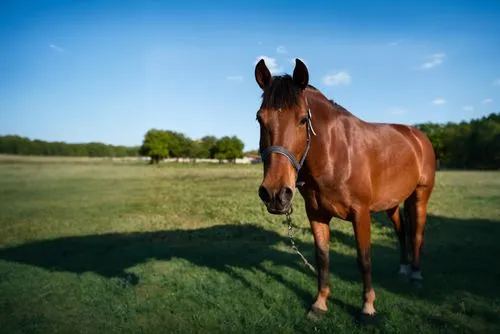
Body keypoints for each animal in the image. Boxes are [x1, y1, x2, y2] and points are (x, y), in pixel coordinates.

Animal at [252, 58, 436, 320]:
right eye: (260, 119)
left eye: (302, 119)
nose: (276, 194)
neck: (335, 153)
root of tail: (418, 136)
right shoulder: (316, 215)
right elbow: (322, 258)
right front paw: (319, 304)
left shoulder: (361, 214)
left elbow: (364, 259)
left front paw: (368, 307)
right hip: (391, 204)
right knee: (402, 232)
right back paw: (402, 269)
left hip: (420, 196)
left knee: (417, 234)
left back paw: (416, 275)